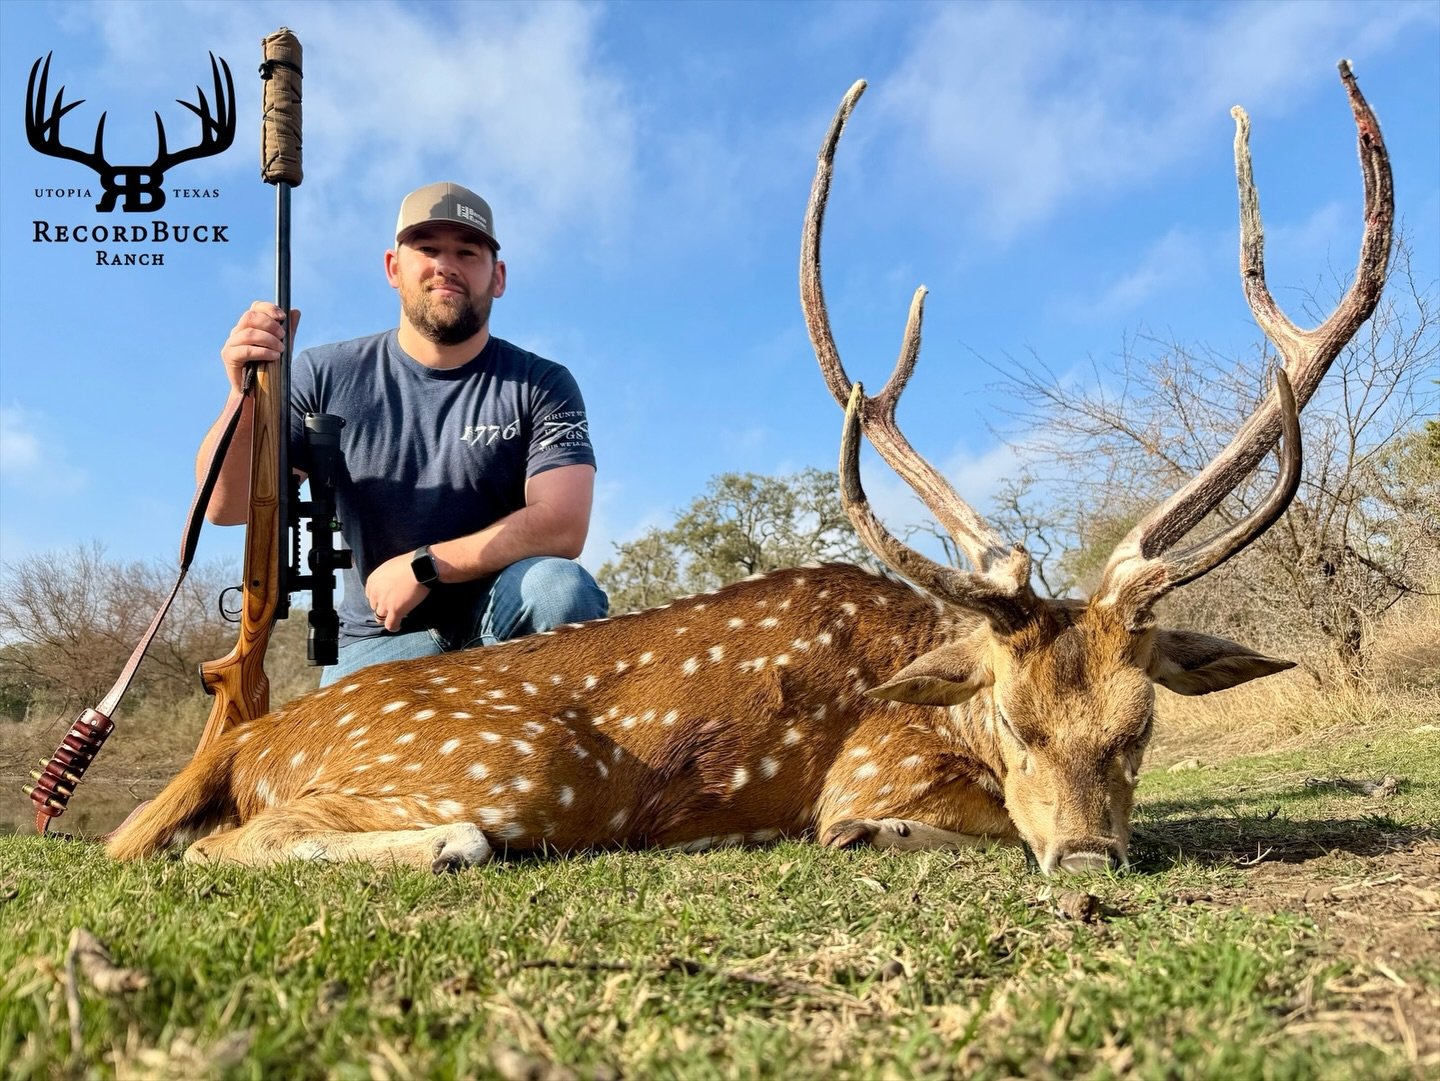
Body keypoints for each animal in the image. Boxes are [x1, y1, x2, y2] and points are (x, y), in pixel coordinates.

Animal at [107, 63, 1392, 875]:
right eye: (1015, 722)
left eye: (1141, 725)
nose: (1084, 855)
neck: (927, 675)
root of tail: (243, 741)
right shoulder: (872, 767)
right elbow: (894, 823)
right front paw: (858, 837)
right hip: (508, 767)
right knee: (220, 846)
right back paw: (449, 843)